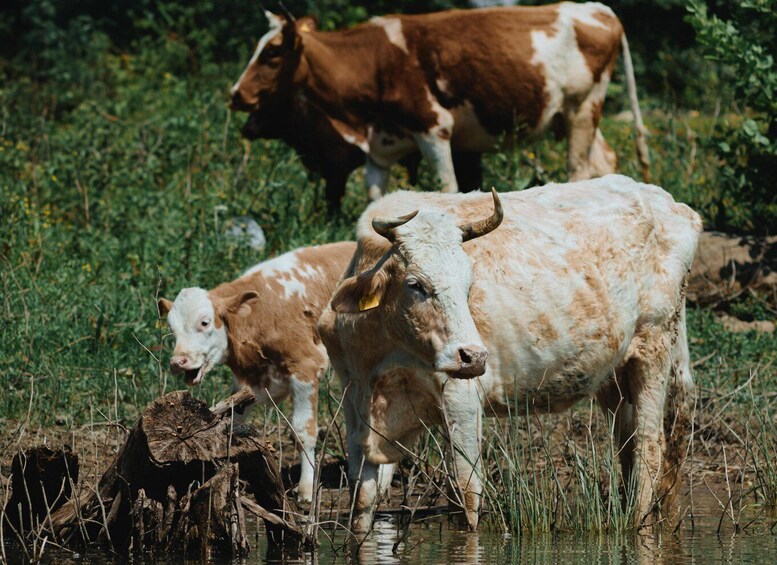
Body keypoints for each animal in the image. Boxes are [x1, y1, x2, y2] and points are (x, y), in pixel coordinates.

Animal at [157, 241, 356, 502]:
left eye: (204, 322)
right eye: (172, 329)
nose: (178, 362)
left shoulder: (305, 366)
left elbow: (303, 430)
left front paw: (305, 490)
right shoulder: (249, 382)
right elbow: (231, 423)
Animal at [230, 3, 650, 206]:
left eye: (271, 53)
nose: (235, 93)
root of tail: (597, 9)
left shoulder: (434, 130)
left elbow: (448, 190)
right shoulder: (380, 149)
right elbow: (374, 201)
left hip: (583, 109)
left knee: (579, 170)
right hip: (570, 117)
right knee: (603, 163)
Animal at [317, 175, 701, 533]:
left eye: (469, 284)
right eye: (416, 284)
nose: (472, 356)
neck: (386, 354)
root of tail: (670, 204)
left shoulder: (461, 398)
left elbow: (467, 495)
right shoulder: (355, 399)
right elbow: (362, 499)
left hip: (653, 347)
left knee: (649, 446)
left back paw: (640, 524)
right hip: (615, 375)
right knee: (630, 444)